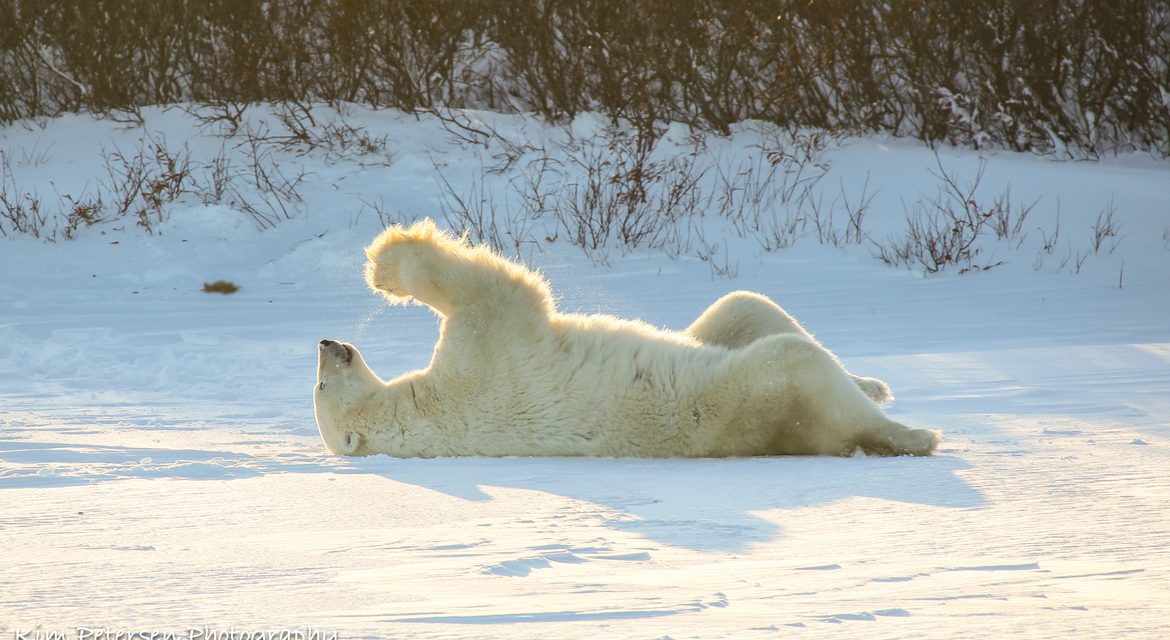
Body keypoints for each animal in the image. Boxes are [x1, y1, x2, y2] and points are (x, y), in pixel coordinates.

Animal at [313, 219, 939, 458]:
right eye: (319, 388)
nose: (326, 345)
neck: (421, 418)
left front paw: (379, 271)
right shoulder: (482, 361)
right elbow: (493, 289)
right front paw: (389, 263)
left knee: (740, 306)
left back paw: (874, 382)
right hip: (756, 395)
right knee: (798, 365)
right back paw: (913, 433)